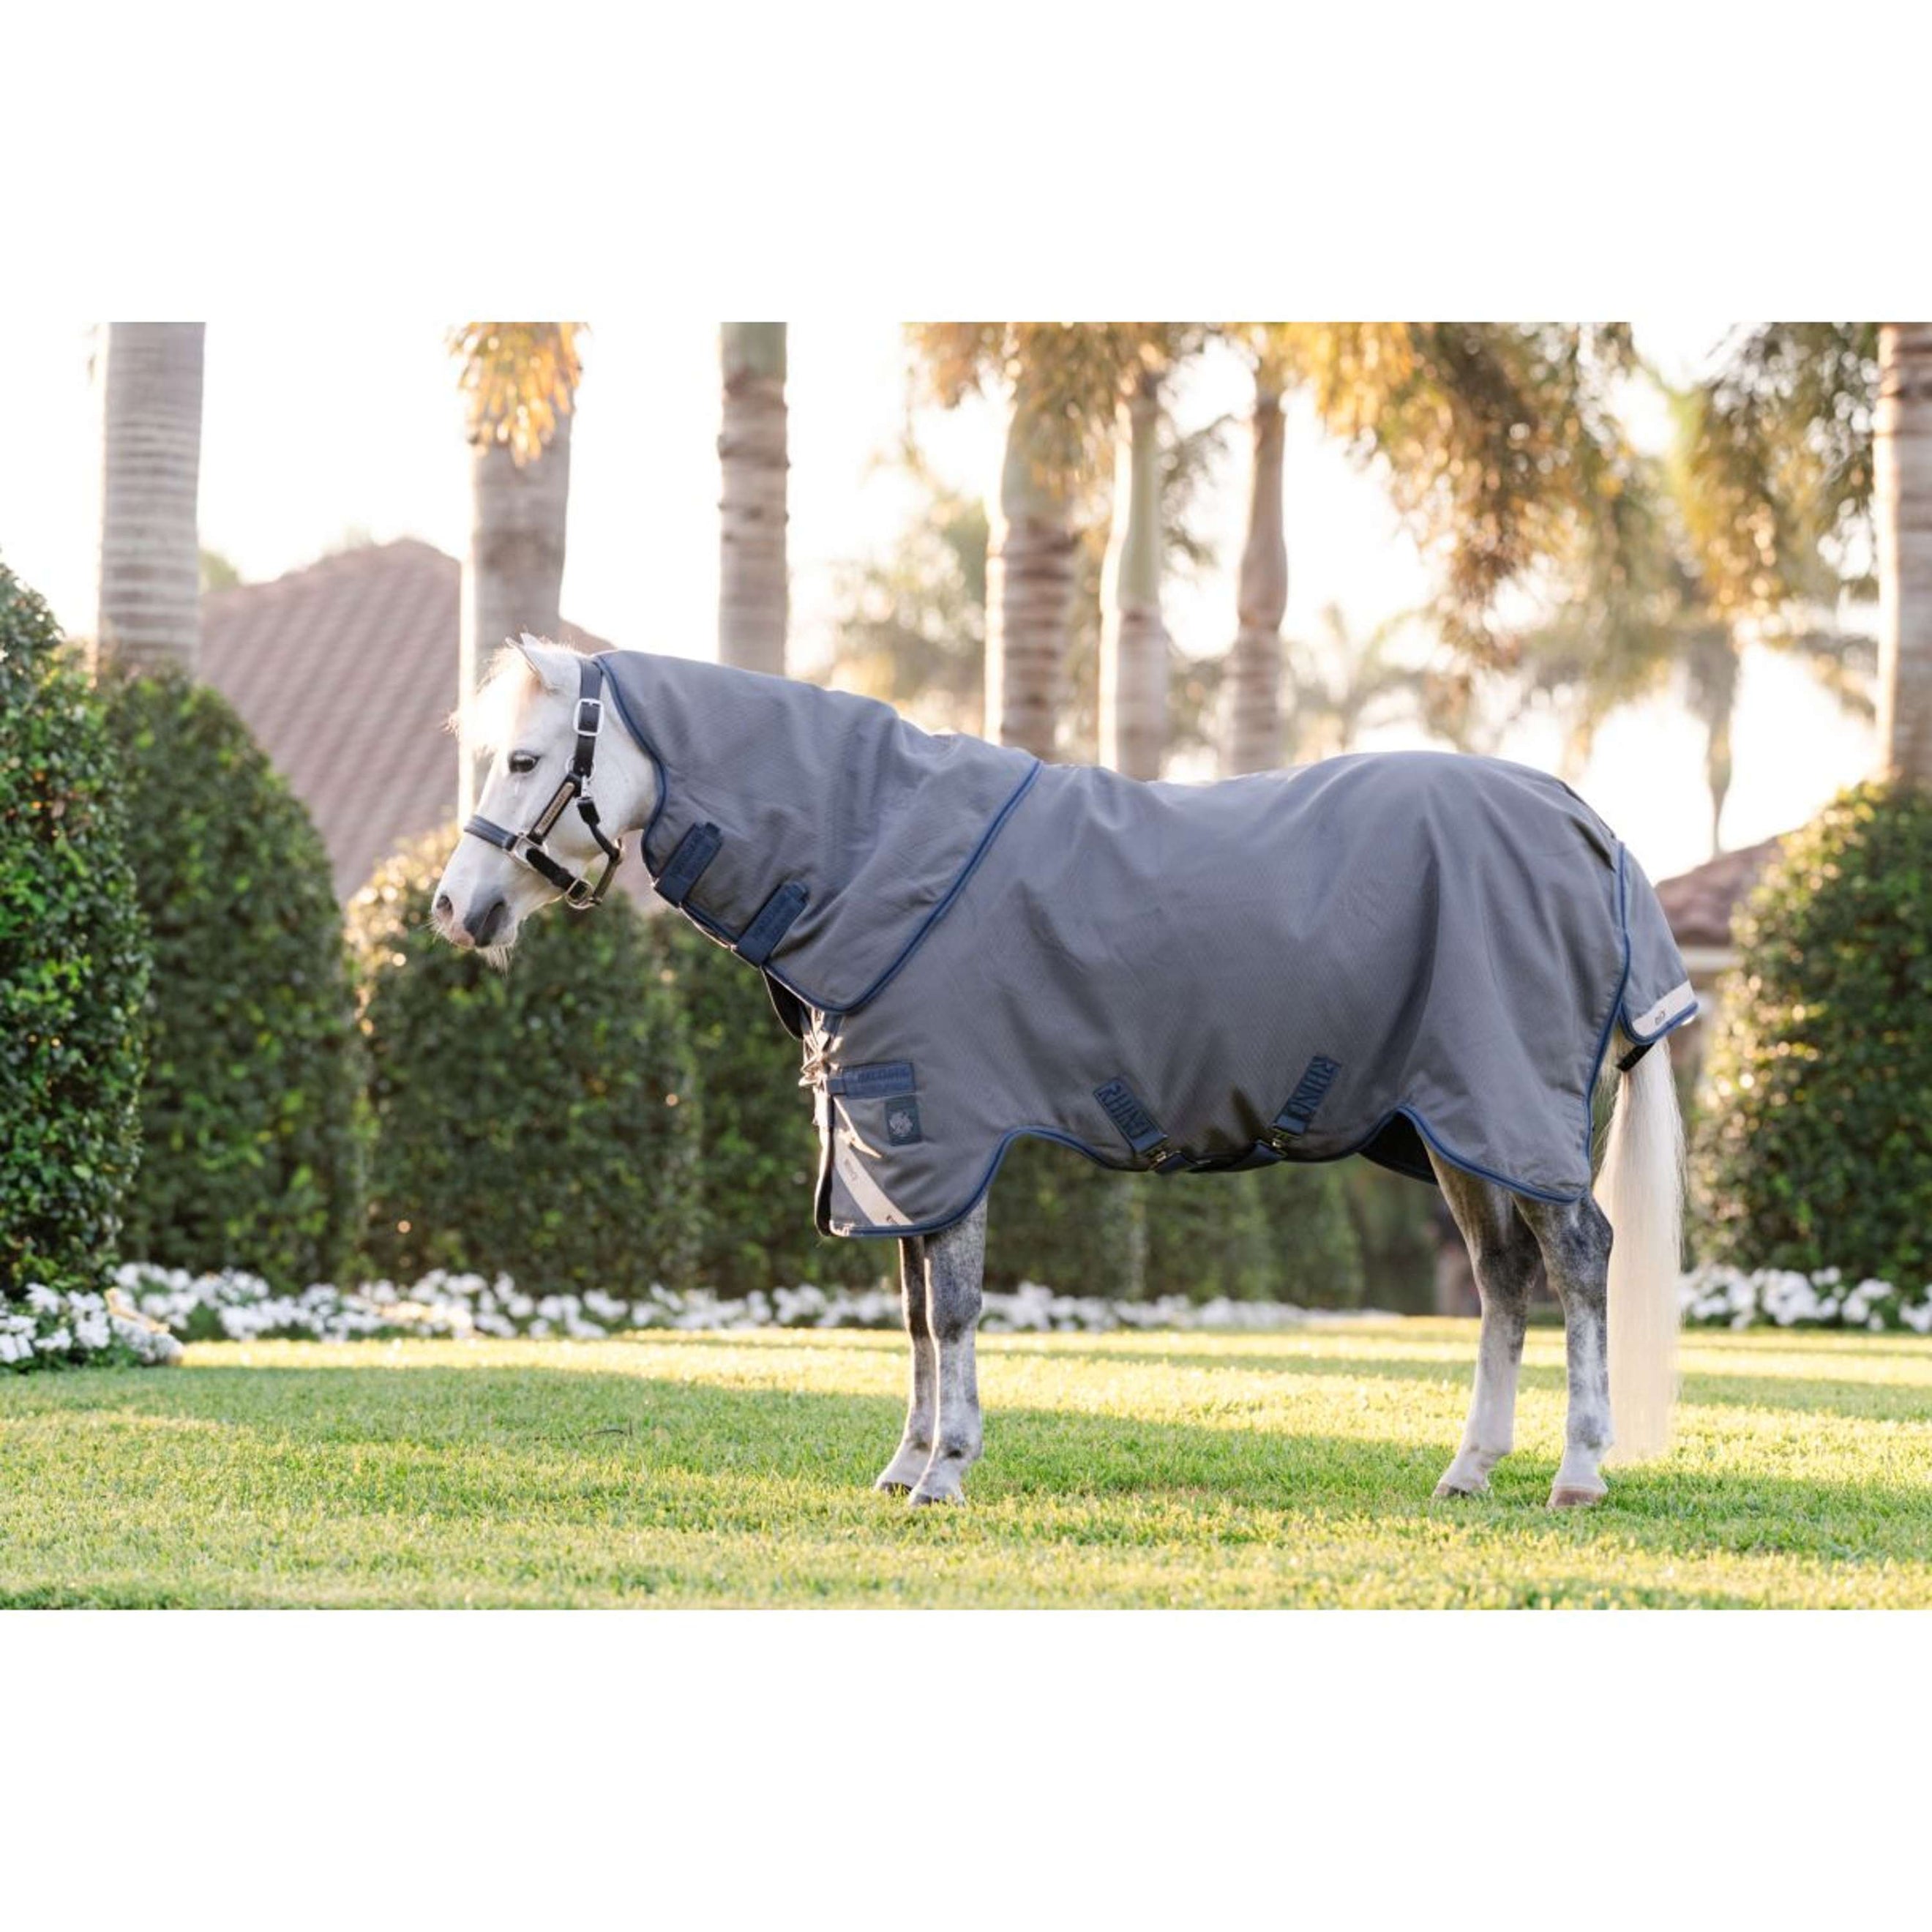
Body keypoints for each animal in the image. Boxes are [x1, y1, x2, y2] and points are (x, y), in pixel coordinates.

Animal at [434, 635, 1693, 1510]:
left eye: (526, 760)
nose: (455, 908)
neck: (872, 857)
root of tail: (1588, 825)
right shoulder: (897, 1150)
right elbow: (914, 1319)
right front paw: (905, 1466)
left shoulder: (941, 1131)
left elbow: (950, 1311)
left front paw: (946, 1473)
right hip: (1455, 1124)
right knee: (1502, 1279)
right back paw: (1470, 1470)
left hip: (1509, 1106)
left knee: (1579, 1260)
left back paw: (1579, 1472)